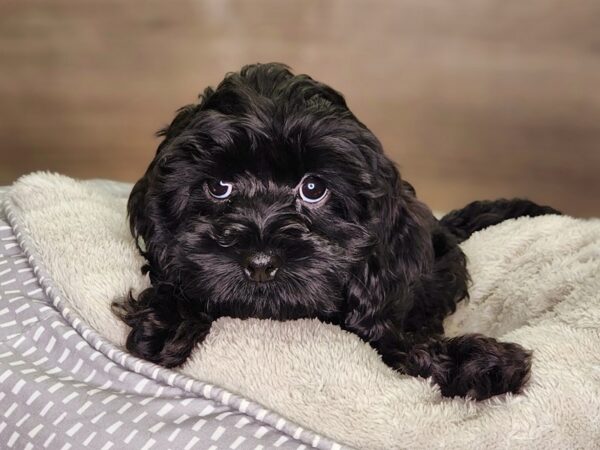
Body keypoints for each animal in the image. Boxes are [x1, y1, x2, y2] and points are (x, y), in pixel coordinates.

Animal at [113, 63, 564, 400]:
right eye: (218, 187)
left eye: (313, 188)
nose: (260, 262)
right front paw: (167, 322)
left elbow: (402, 350)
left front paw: (480, 364)